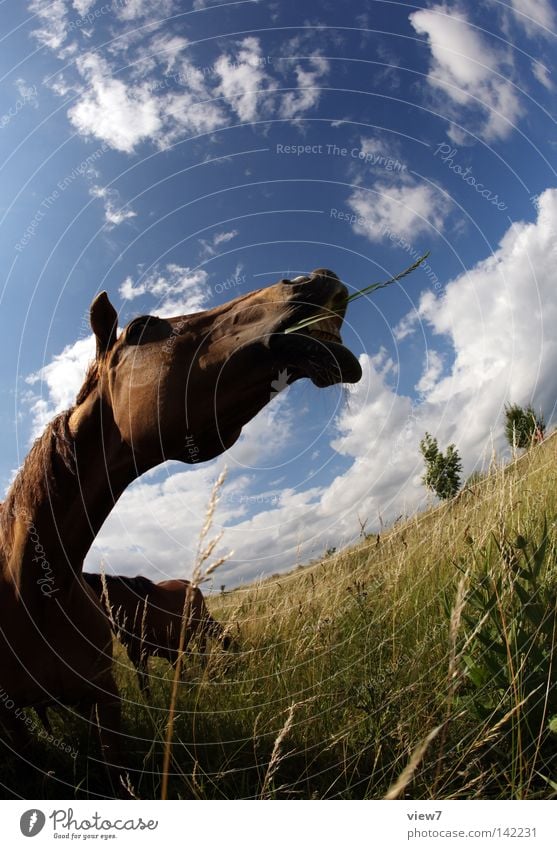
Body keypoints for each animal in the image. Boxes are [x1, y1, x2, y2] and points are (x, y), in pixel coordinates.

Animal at [82, 568, 232, 696]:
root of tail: (191, 584)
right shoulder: (138, 658)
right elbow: (145, 690)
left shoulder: (171, 652)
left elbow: (184, 677)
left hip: (201, 625)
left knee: (209, 649)